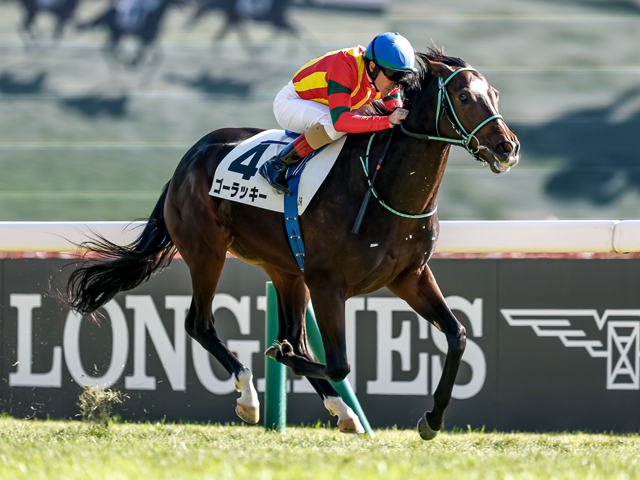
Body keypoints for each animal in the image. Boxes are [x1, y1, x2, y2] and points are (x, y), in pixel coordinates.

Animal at [65, 46, 520, 439]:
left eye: (495, 94)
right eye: (464, 96)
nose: (508, 147)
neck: (384, 189)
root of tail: (188, 159)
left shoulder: (410, 275)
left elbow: (457, 335)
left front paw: (432, 419)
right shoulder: (328, 283)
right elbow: (338, 363)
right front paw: (277, 355)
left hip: (285, 270)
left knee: (295, 335)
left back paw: (341, 410)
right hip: (207, 252)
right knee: (200, 323)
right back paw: (250, 396)